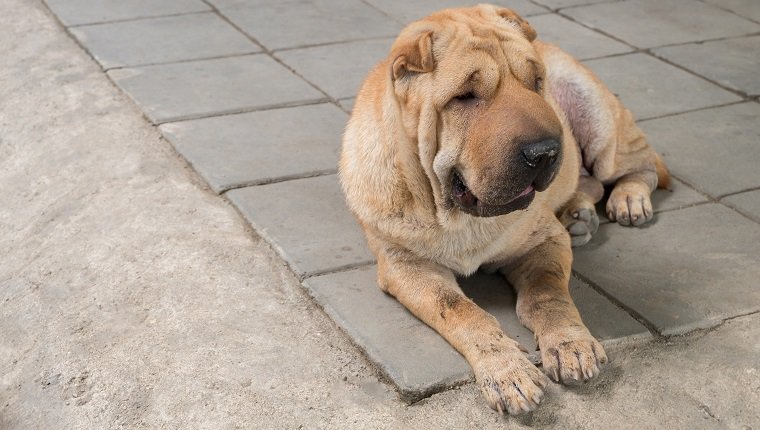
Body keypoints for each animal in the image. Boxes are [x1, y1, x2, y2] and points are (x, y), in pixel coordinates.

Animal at [336, 2, 664, 414]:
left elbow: (548, 294)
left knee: (640, 166)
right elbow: (460, 310)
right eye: (465, 96)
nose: (546, 151)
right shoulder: (406, 265)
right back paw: (579, 215)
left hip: (601, 126)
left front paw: (571, 343)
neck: (453, 215)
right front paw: (507, 370)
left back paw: (629, 198)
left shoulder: (543, 241)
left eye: (536, 82)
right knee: (588, 181)